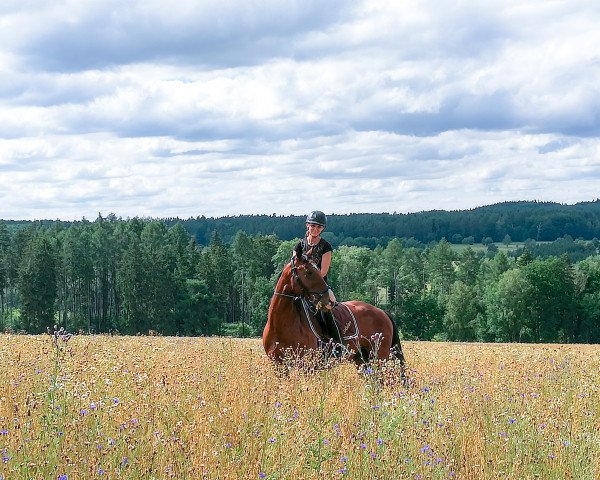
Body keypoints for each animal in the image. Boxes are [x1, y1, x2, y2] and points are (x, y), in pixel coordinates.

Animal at [262, 244, 408, 378]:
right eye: (309, 272)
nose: (330, 300)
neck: (281, 323)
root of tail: (382, 312)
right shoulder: (278, 365)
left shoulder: (308, 365)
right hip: (362, 359)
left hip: (380, 357)